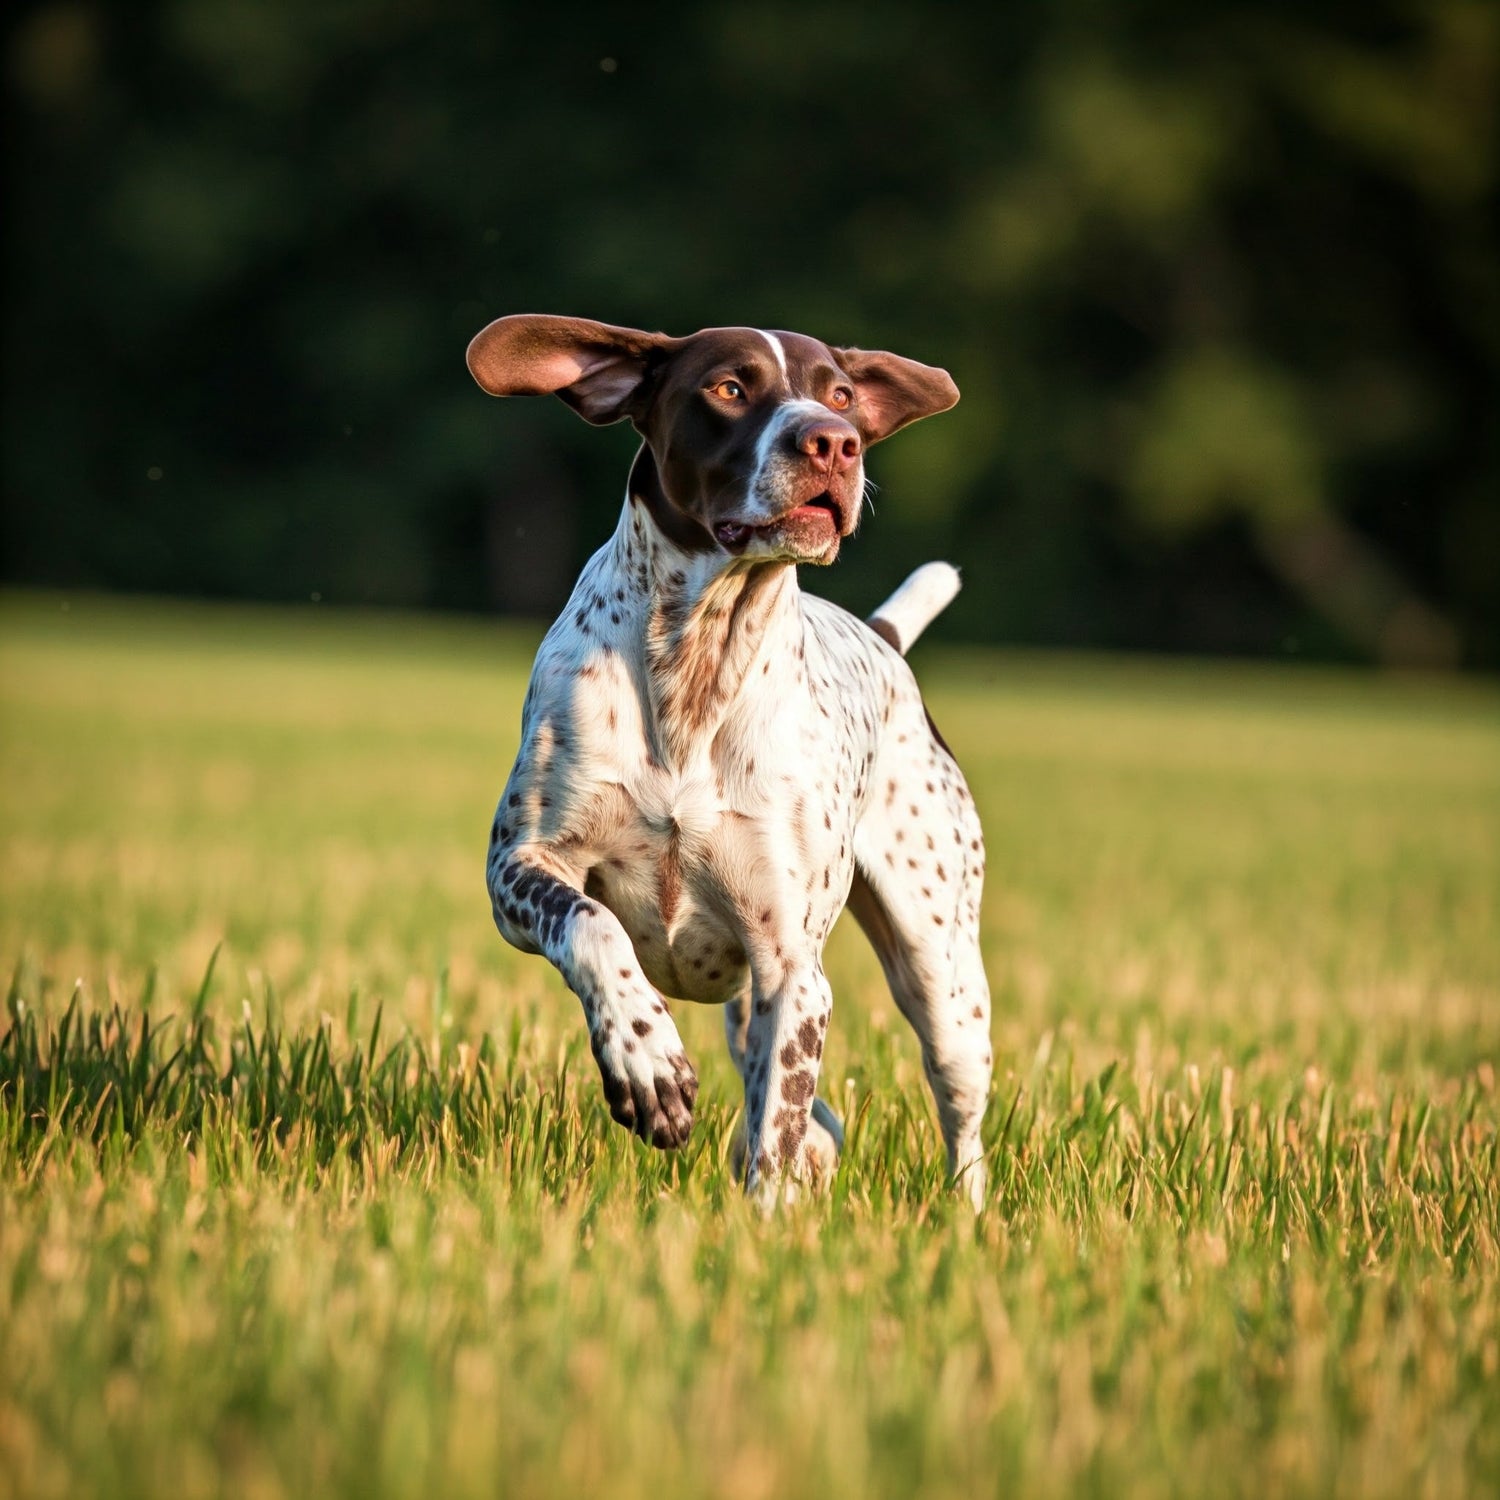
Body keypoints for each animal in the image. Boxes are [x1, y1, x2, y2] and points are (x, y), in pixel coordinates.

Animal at [468, 316, 984, 1206]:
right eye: (730, 388)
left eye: (839, 392)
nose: (835, 441)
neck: (701, 659)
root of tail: (883, 638)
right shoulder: (521, 868)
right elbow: (592, 924)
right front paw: (646, 1059)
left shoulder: (792, 971)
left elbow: (777, 1131)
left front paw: (766, 1219)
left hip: (943, 979)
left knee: (956, 1121)